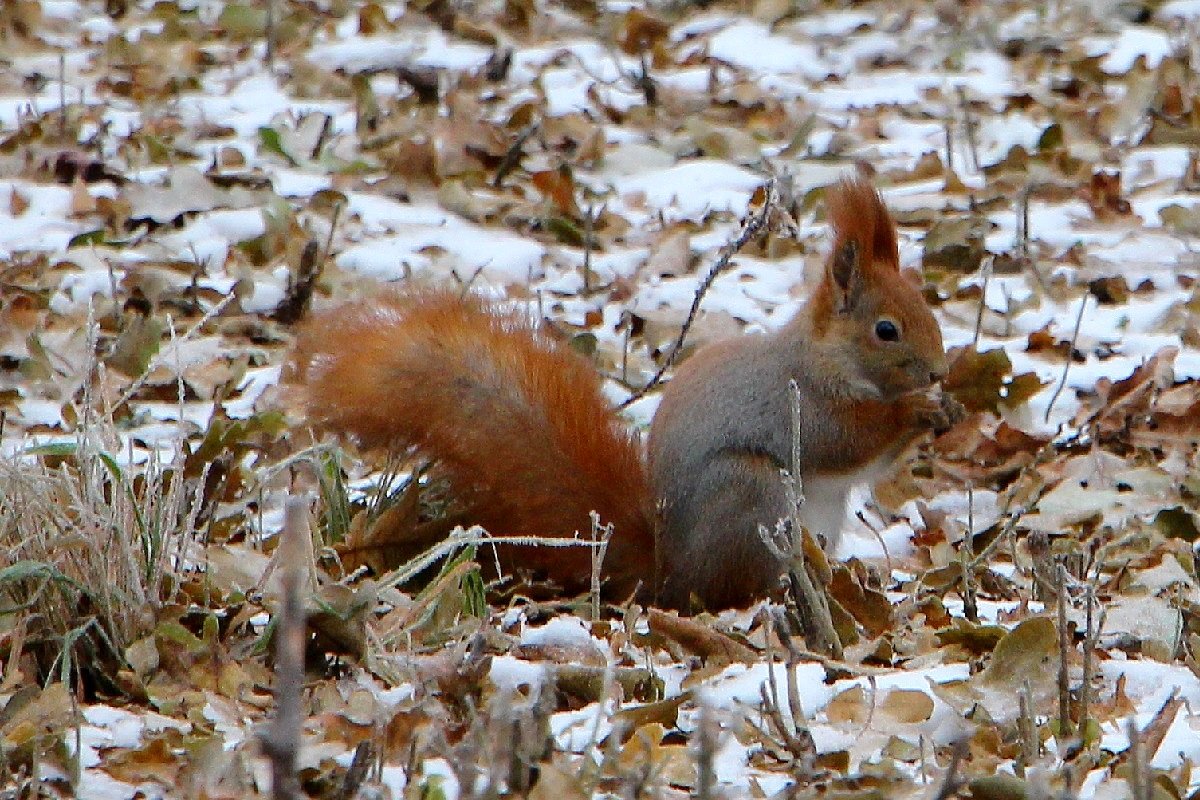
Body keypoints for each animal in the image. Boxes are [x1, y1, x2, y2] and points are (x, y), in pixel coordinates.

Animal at [285, 176, 950, 614]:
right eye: (886, 329)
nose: (940, 370)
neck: (826, 358)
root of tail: (671, 575)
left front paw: (944, 409)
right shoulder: (800, 402)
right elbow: (845, 440)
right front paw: (915, 410)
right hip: (751, 495)